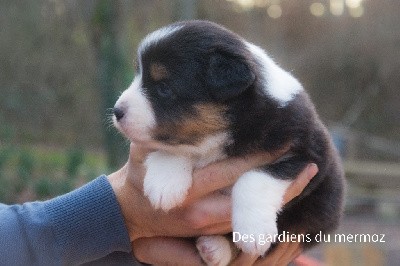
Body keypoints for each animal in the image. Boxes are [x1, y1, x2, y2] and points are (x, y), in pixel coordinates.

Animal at [112, 20, 344, 266]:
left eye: (163, 88)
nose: (117, 111)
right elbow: (171, 147)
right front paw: (164, 186)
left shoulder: (311, 153)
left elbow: (253, 178)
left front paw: (253, 232)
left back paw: (216, 248)